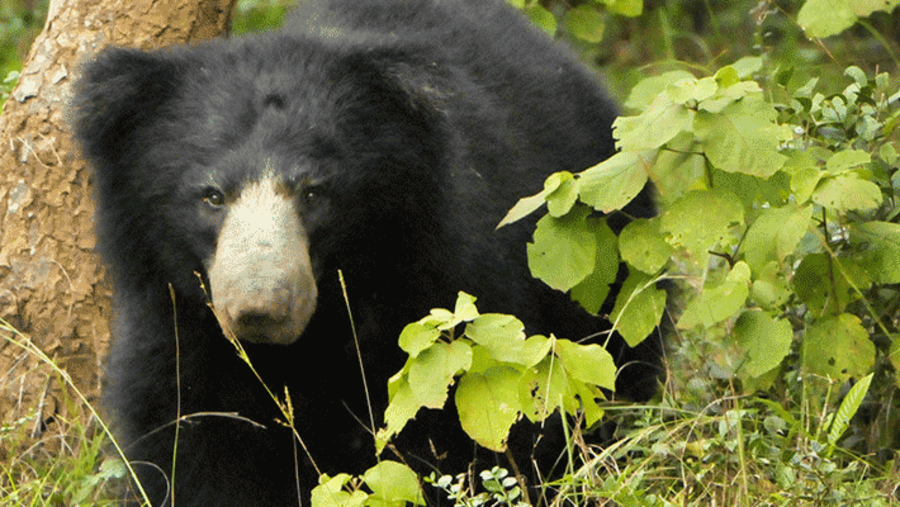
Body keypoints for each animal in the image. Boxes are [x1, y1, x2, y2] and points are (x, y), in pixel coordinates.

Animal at [72, 0, 660, 505]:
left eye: (314, 193)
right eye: (212, 196)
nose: (261, 309)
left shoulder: (438, 291)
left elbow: (452, 432)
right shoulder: (175, 328)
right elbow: (189, 446)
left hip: (603, 257)